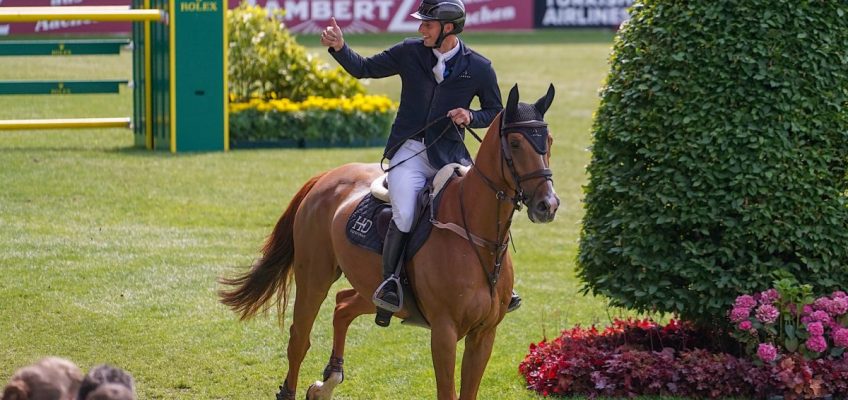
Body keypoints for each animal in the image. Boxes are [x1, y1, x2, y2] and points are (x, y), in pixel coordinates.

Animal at [219, 85, 560, 400]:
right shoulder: (444, 332)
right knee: (299, 337)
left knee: (343, 305)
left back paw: (328, 382)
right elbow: (447, 391)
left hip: (372, 288)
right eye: (515, 144)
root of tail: (326, 176)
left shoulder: (484, 335)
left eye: (549, 142)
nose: (548, 205)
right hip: (314, 277)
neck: (478, 237)